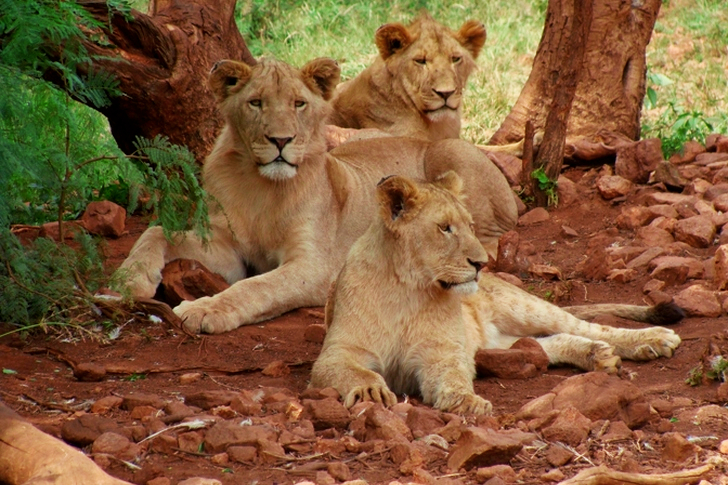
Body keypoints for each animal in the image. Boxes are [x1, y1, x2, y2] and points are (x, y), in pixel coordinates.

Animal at [115, 57, 519, 334]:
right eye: (256, 103)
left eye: (299, 104)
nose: (281, 141)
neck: (262, 188)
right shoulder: (226, 250)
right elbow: (156, 232)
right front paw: (128, 281)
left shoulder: (314, 266)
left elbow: (257, 287)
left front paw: (204, 310)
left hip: (449, 152)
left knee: (492, 239)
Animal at [310, 173, 682, 415]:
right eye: (445, 228)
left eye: (471, 226)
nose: (481, 263)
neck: (408, 288)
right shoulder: (337, 352)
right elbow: (358, 371)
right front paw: (371, 391)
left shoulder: (442, 353)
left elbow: (453, 376)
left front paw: (466, 402)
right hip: (496, 343)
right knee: (545, 344)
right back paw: (596, 355)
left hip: (524, 306)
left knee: (589, 326)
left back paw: (652, 340)